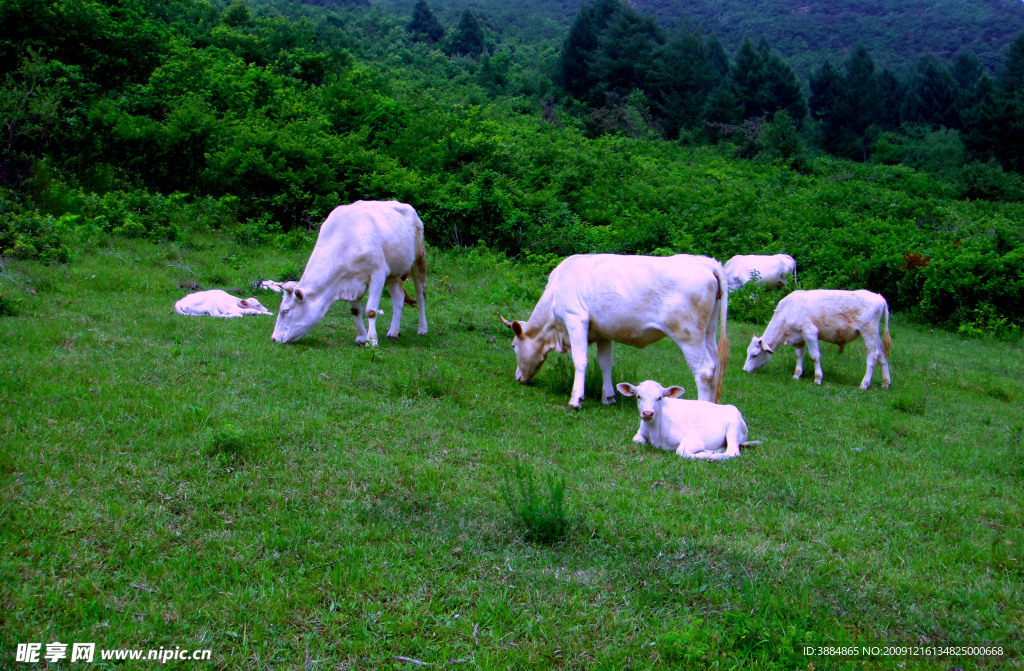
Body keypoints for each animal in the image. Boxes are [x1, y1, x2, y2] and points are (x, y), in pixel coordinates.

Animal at [270, 199, 425, 346]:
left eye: (285, 311)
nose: (274, 338)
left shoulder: (378, 273)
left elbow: (371, 311)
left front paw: (372, 341)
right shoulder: (350, 280)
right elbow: (356, 310)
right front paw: (361, 338)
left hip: (419, 259)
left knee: (421, 295)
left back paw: (422, 329)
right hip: (393, 273)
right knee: (398, 297)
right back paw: (393, 332)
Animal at [497, 253, 729, 407]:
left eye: (513, 345)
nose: (518, 378)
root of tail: (707, 262)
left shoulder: (575, 318)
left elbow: (580, 360)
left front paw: (576, 399)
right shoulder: (603, 332)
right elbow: (605, 364)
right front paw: (608, 397)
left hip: (688, 333)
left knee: (705, 370)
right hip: (708, 331)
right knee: (716, 365)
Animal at [610, 381, 757, 458]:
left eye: (660, 397)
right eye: (638, 396)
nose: (647, 413)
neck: (655, 433)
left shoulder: (694, 439)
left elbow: (682, 452)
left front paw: (705, 453)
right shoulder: (640, 432)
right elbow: (637, 440)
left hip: (734, 426)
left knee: (733, 451)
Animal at [741, 286, 892, 389]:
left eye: (754, 355)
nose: (745, 370)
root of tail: (879, 296)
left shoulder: (810, 332)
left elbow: (814, 356)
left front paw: (818, 379)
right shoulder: (798, 338)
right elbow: (799, 355)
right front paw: (796, 375)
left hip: (868, 332)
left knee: (872, 356)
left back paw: (864, 384)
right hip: (875, 334)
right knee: (882, 354)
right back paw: (885, 383)